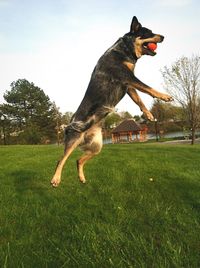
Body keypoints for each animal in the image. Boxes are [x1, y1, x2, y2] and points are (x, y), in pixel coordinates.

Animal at [50, 15, 173, 186]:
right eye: (148, 32)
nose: (163, 37)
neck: (123, 50)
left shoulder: (128, 86)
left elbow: (139, 100)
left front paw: (148, 114)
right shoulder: (127, 77)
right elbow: (148, 88)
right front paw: (164, 96)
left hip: (96, 147)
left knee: (78, 160)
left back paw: (81, 178)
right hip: (73, 140)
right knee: (61, 160)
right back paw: (56, 179)